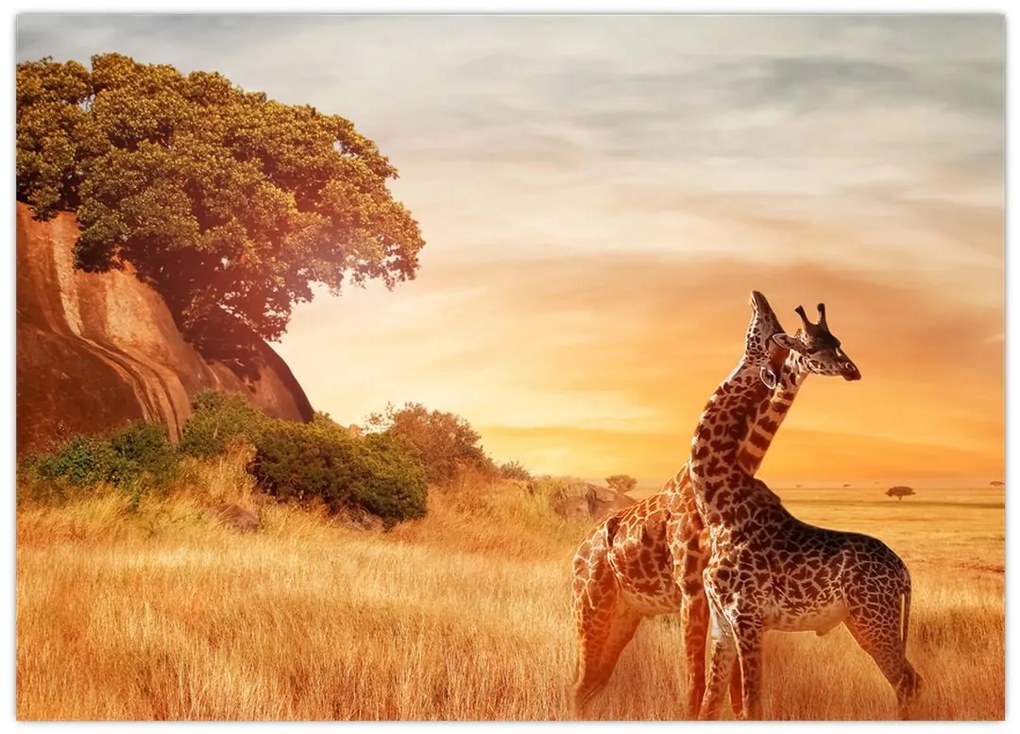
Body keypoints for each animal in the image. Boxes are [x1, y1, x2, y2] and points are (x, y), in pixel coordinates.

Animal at [570, 292, 857, 717]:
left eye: (835, 340)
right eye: (806, 341)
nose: (851, 370)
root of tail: (578, 552)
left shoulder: (725, 599)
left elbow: (730, 691)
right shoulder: (693, 590)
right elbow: (698, 684)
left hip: (625, 615)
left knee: (591, 685)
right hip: (591, 609)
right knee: (580, 684)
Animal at [683, 292, 919, 720]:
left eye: (769, 330)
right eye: (807, 342)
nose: (758, 297)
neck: (718, 509)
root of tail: (904, 574)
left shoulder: (748, 618)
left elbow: (752, 705)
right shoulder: (722, 622)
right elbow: (710, 704)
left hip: (872, 618)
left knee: (907, 681)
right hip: (868, 619)